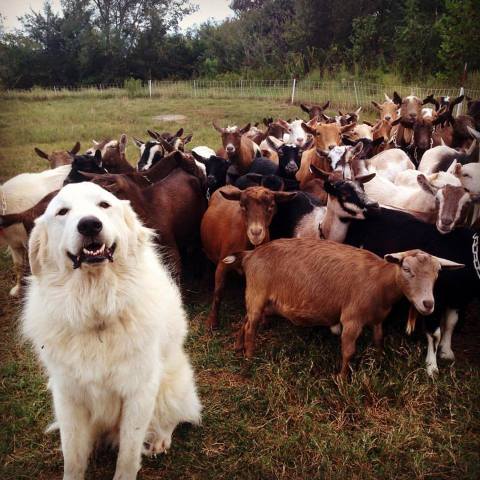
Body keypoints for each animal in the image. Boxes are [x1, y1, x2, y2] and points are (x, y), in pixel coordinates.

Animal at [21, 183, 202, 480]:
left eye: (104, 205)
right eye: (62, 212)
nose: (89, 225)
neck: (97, 310)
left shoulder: (139, 392)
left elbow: (128, 454)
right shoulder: (67, 395)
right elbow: (72, 456)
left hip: (172, 386)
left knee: (173, 416)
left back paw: (160, 438)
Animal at [200, 187, 296, 330]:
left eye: (271, 206)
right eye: (242, 206)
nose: (256, 233)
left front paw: (263, 321)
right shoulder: (222, 264)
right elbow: (218, 292)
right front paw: (212, 322)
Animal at [227, 240, 464, 376]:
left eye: (438, 272)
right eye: (406, 269)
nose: (428, 304)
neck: (379, 281)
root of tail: (250, 255)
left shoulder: (377, 318)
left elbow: (379, 340)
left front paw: (379, 363)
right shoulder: (352, 319)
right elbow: (348, 352)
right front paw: (342, 381)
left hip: (263, 300)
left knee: (246, 320)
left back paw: (238, 348)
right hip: (258, 292)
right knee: (251, 327)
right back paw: (249, 359)